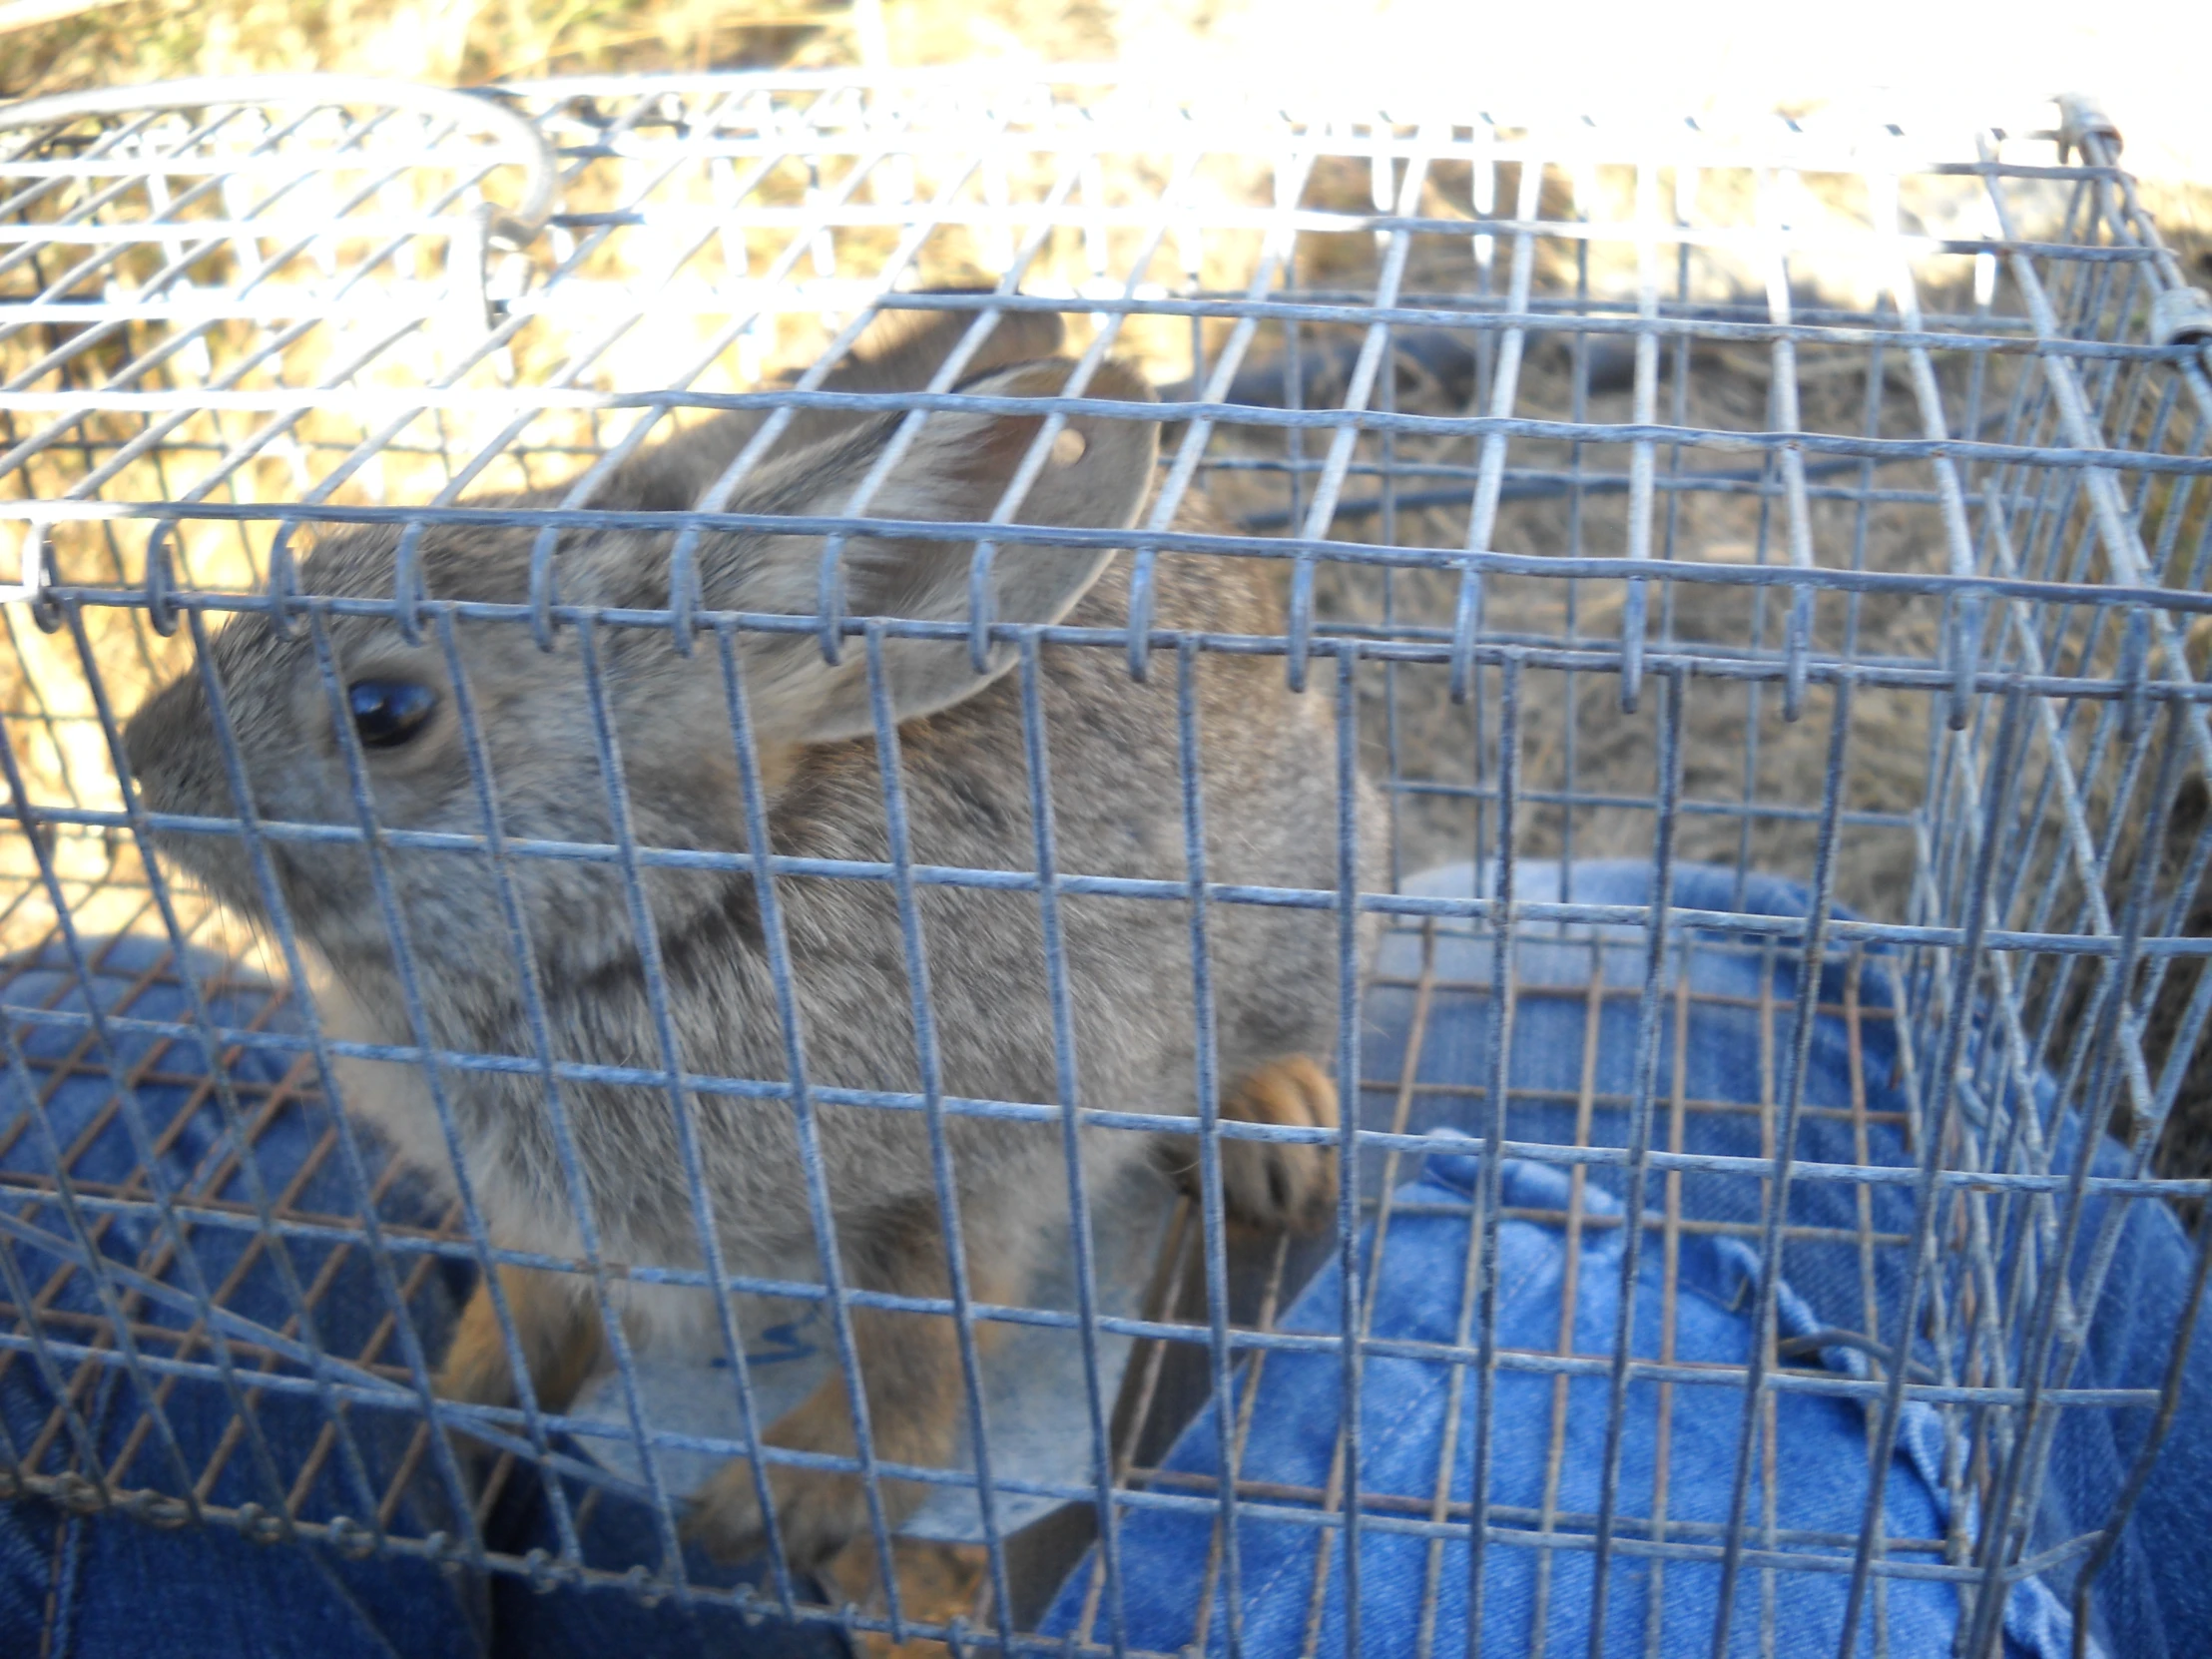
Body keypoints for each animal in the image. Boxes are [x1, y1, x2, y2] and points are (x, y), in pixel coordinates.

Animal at [121, 309, 1380, 1574]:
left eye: (385, 713)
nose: (140, 758)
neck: (666, 927)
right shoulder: (549, 1226)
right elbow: (525, 1311)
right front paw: (465, 1403)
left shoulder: (954, 1179)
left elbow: (916, 1366)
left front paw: (786, 1499)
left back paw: (1272, 1123)